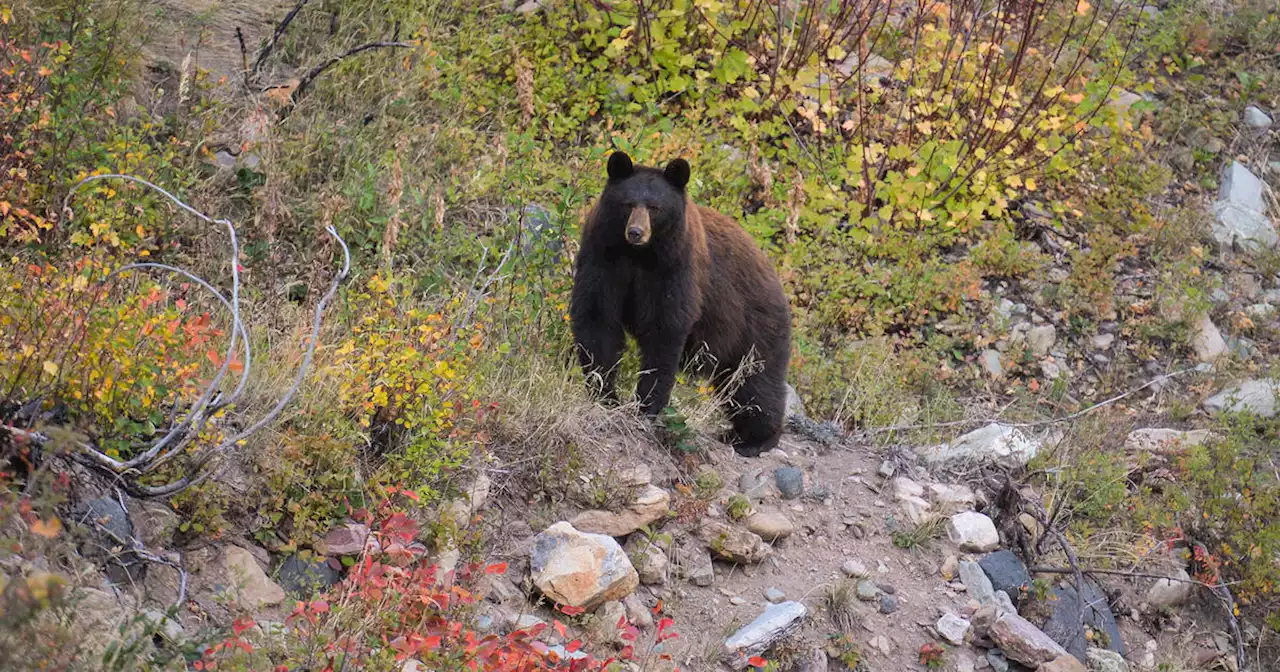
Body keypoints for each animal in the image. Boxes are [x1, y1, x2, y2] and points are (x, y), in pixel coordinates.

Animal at [570, 151, 788, 455]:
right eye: (628, 204)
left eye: (655, 207)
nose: (636, 232)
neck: (639, 255)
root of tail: (773, 272)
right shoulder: (603, 257)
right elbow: (597, 318)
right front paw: (605, 395)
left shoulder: (674, 268)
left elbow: (665, 329)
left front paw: (648, 406)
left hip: (755, 324)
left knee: (755, 381)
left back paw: (755, 439)